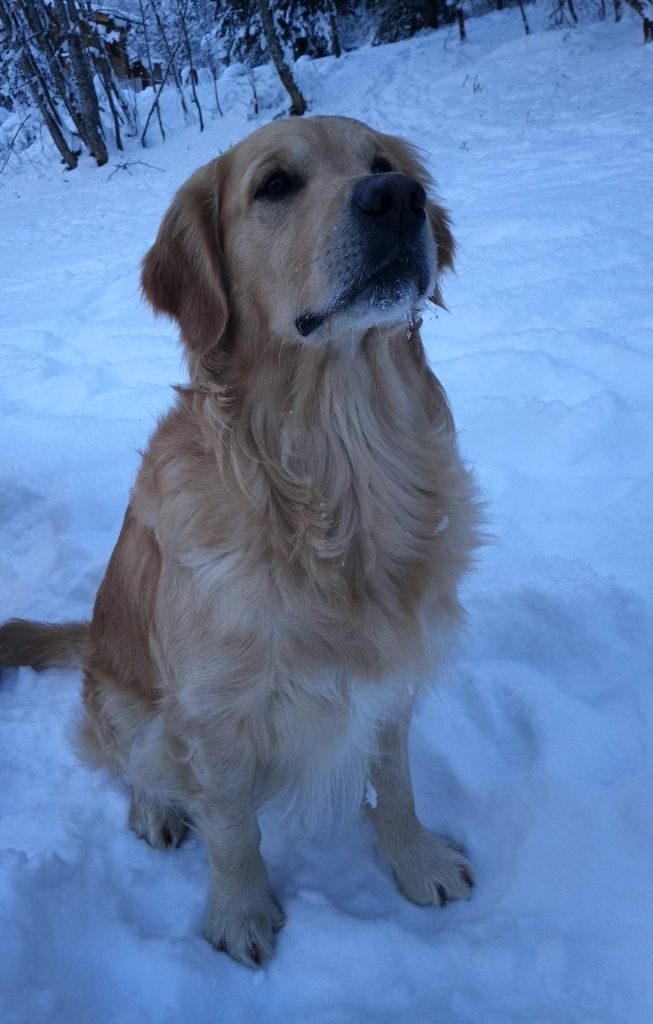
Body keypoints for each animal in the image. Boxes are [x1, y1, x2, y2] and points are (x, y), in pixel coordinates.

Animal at [0, 114, 483, 966]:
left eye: (382, 162)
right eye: (275, 185)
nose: (397, 199)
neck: (339, 471)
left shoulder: (392, 675)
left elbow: (394, 782)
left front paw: (414, 859)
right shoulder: (212, 714)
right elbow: (231, 828)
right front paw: (241, 915)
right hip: (124, 701)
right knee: (131, 762)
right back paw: (155, 809)